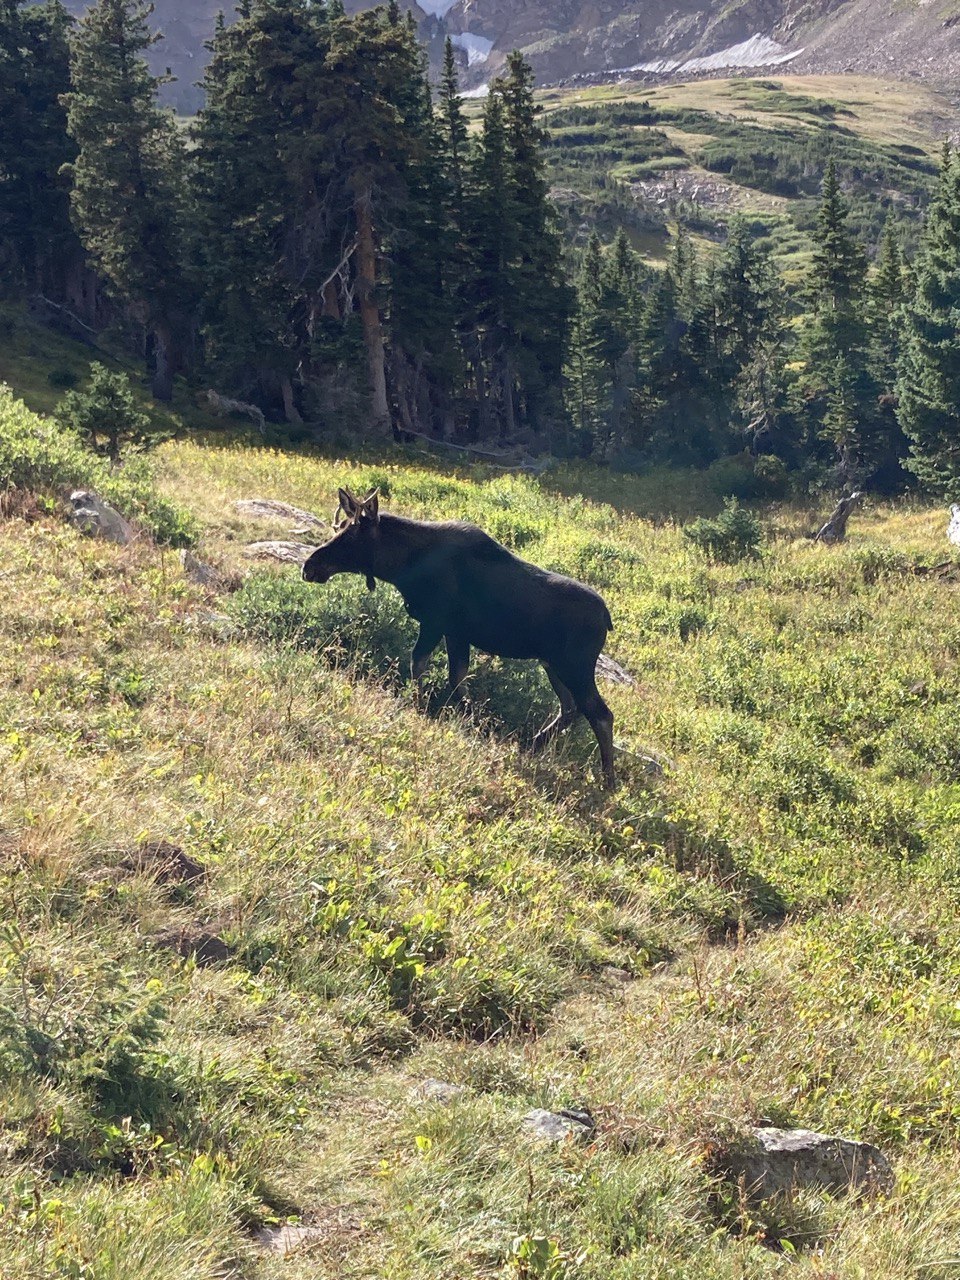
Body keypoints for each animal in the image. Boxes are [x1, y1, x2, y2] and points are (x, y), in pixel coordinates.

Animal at [304, 488, 619, 788]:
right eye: (339, 527)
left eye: (351, 535)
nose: (309, 566)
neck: (402, 567)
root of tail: (606, 618)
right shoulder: (455, 633)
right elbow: (457, 678)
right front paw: (468, 720)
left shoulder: (436, 622)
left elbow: (421, 665)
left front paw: (420, 705)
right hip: (552, 664)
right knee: (571, 708)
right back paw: (534, 744)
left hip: (574, 665)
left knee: (601, 714)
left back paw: (608, 779)